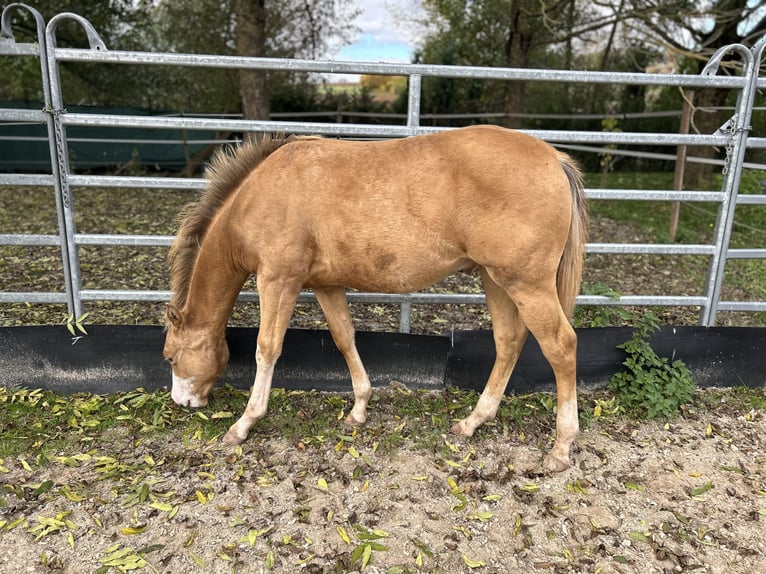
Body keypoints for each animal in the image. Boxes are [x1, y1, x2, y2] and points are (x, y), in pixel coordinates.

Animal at [165, 125, 592, 472]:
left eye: (169, 356)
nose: (183, 402)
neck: (260, 194)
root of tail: (553, 158)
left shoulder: (278, 280)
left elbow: (266, 348)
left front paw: (243, 424)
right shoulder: (325, 285)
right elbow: (344, 338)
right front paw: (358, 408)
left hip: (526, 284)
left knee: (561, 345)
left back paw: (561, 447)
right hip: (495, 279)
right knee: (508, 342)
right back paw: (473, 422)